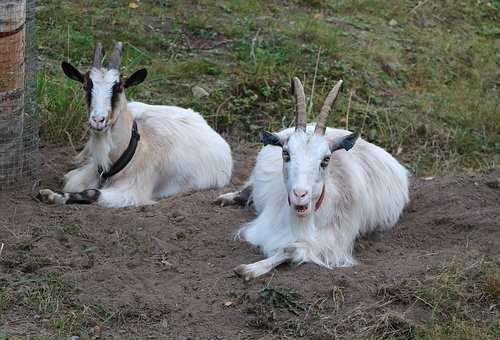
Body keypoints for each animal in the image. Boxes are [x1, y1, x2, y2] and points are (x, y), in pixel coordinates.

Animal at [39, 42, 232, 207]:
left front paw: (51, 195)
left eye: (118, 87)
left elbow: (93, 192)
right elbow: (71, 179)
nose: (98, 120)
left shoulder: (133, 191)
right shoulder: (84, 175)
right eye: (86, 85)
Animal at [217, 78, 408, 280]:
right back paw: (225, 198)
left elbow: (290, 249)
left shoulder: (330, 242)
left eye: (326, 159)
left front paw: (250, 269)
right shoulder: (264, 227)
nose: (300, 194)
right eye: (286, 153)